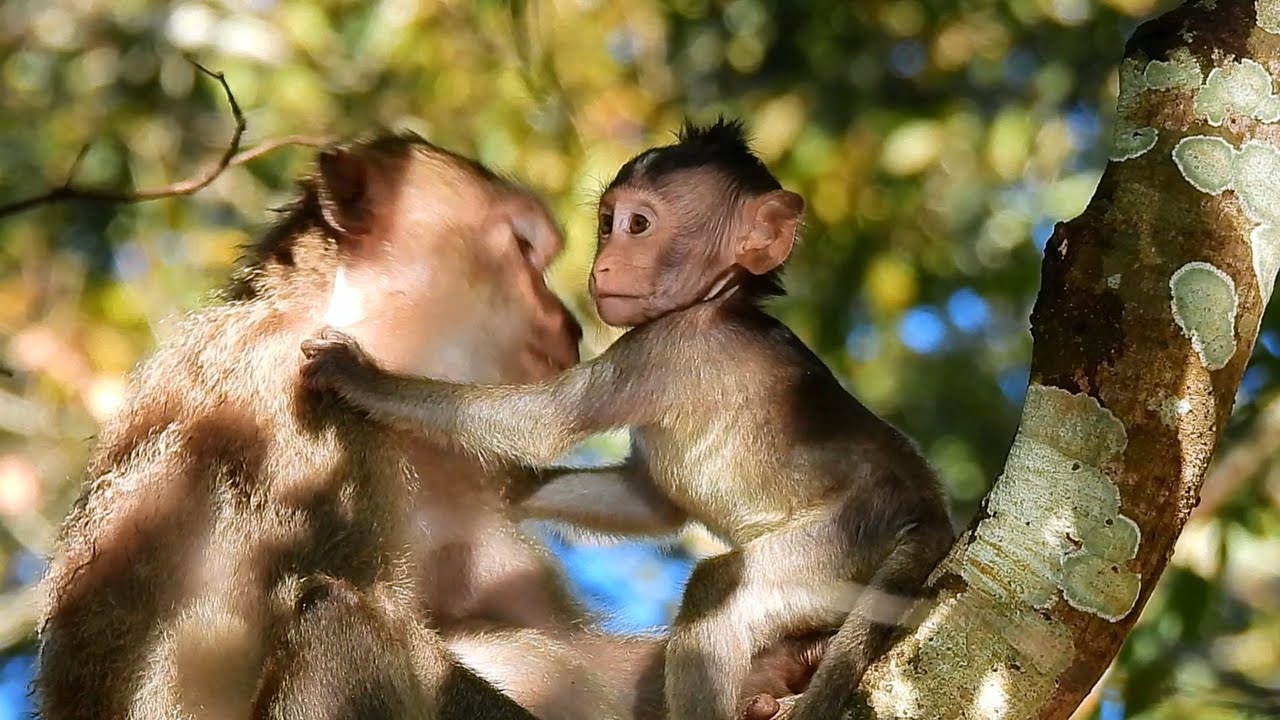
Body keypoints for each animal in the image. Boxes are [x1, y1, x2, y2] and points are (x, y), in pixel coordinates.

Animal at [299, 118, 956, 720]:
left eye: (639, 225)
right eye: (607, 222)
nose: (605, 265)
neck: (718, 302)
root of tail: (930, 511)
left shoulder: (661, 350)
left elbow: (546, 425)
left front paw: (359, 376)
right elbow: (650, 499)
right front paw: (504, 489)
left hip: (849, 537)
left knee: (721, 589)